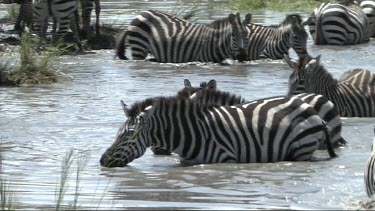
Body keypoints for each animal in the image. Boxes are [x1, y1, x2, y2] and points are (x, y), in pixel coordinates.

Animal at [100, 88, 338, 166]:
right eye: (117, 134)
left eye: (129, 135)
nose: (102, 161)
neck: (192, 134)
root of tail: (308, 107)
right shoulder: (185, 162)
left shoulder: (226, 160)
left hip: (301, 150)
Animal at [117, 9, 253, 63]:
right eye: (233, 36)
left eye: (247, 35)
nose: (243, 56)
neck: (214, 42)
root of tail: (140, 14)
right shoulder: (201, 59)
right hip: (138, 47)